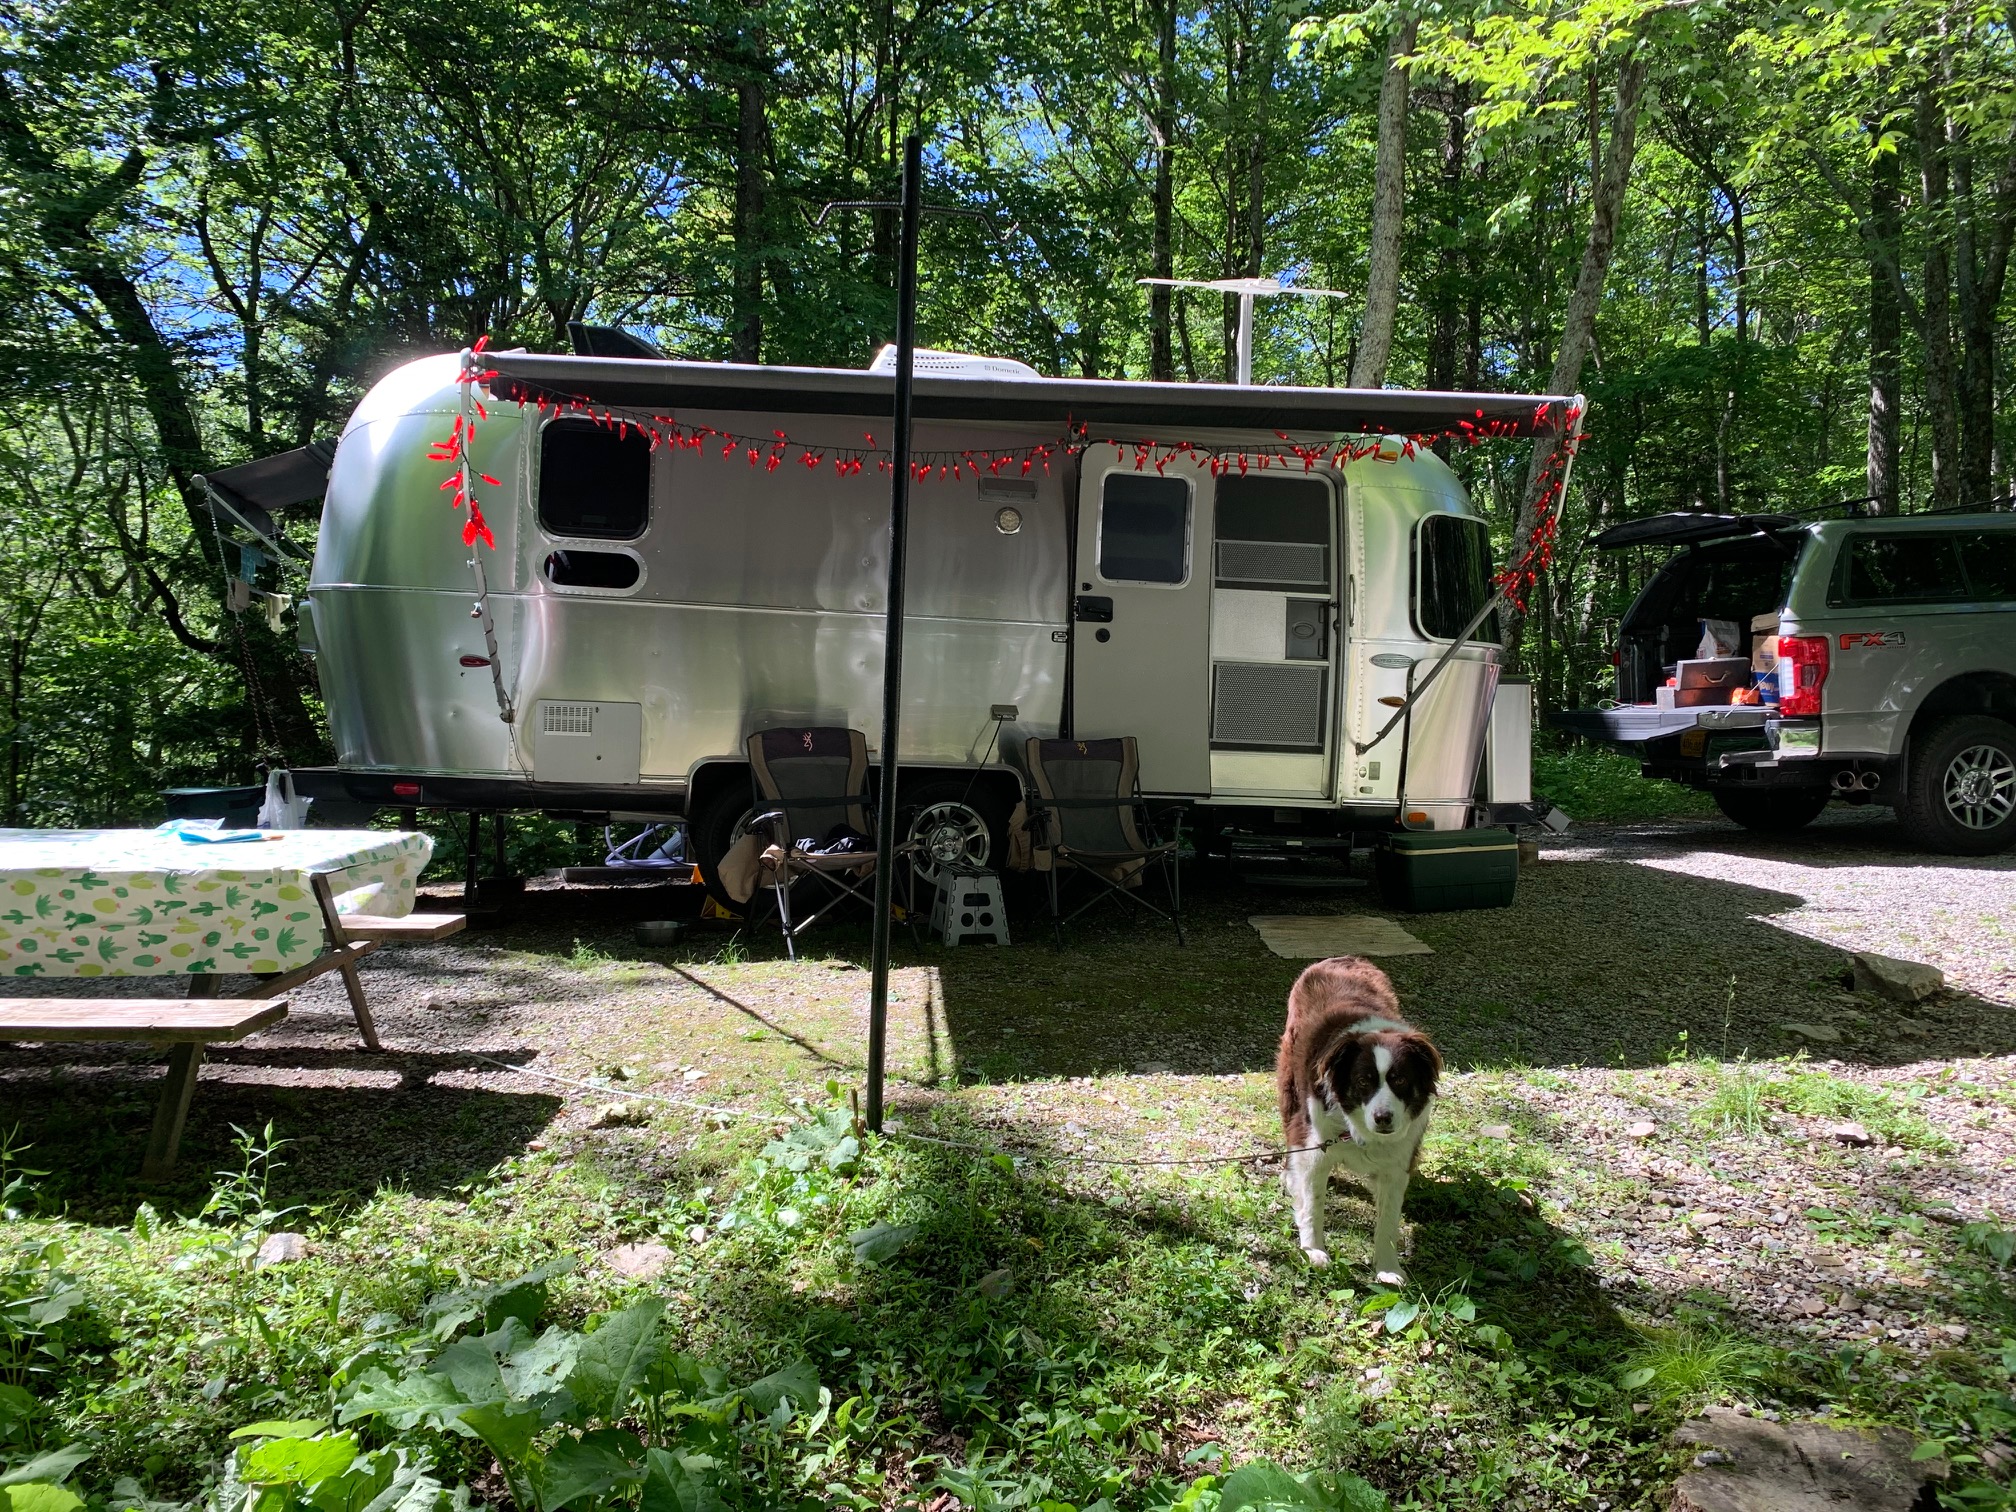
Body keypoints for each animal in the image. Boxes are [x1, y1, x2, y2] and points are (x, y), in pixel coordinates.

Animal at [1276, 955, 1441, 1280]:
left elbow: (1388, 1221)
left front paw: (1388, 1270)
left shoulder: (1397, 1164)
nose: (1383, 1117)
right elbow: (1313, 1203)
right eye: (1364, 1081)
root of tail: (1341, 957)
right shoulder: (1315, 1147)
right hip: (1290, 1084)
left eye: (1400, 1080)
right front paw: (1314, 1251)